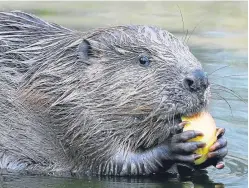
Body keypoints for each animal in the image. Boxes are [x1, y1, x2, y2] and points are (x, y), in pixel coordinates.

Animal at [0, 11, 228, 176]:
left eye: (187, 50)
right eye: (143, 59)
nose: (199, 80)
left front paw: (220, 145)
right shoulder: (75, 118)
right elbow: (114, 163)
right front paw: (174, 146)